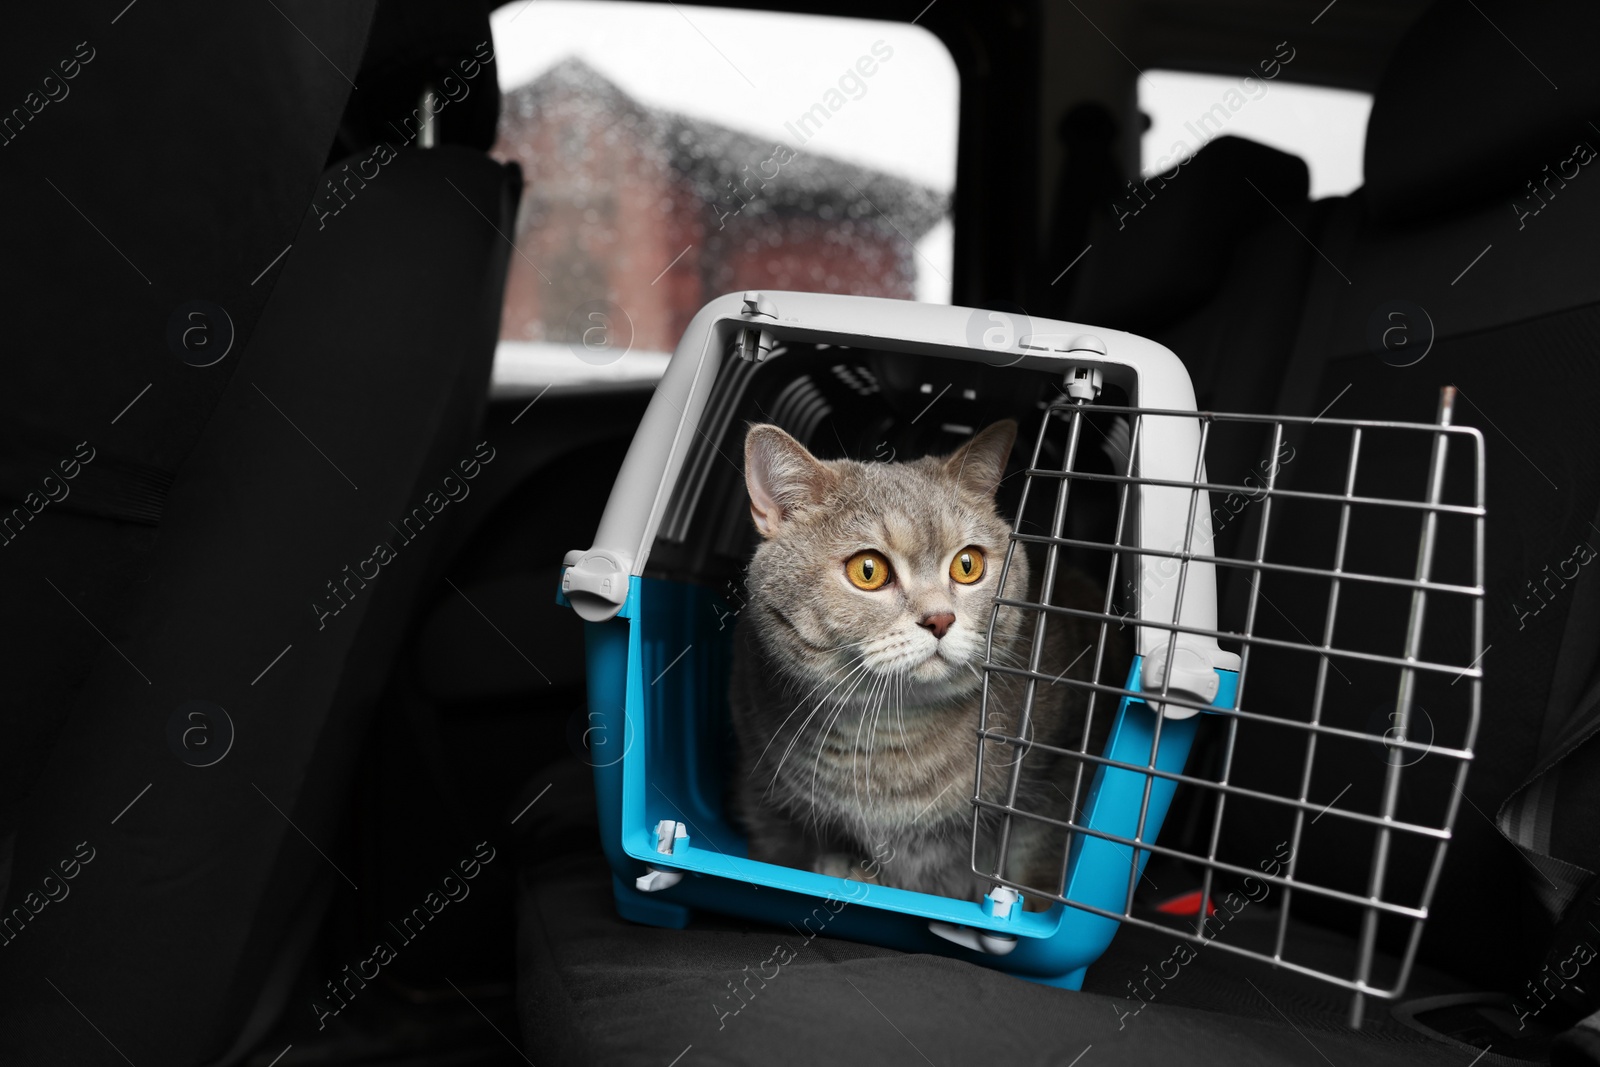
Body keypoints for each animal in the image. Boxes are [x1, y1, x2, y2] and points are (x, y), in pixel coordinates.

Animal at [732, 422, 1107, 908]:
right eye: (867, 570)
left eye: (968, 564)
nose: (940, 619)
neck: (893, 734)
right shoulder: (763, 793)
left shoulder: (1055, 778)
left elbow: (1036, 866)